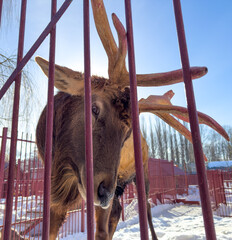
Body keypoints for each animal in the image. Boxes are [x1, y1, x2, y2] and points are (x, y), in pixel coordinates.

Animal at [35, 0, 229, 239]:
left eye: (128, 133)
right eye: (94, 108)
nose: (102, 192)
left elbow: (100, 231)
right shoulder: (55, 191)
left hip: (140, 172)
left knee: (144, 206)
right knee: (119, 210)